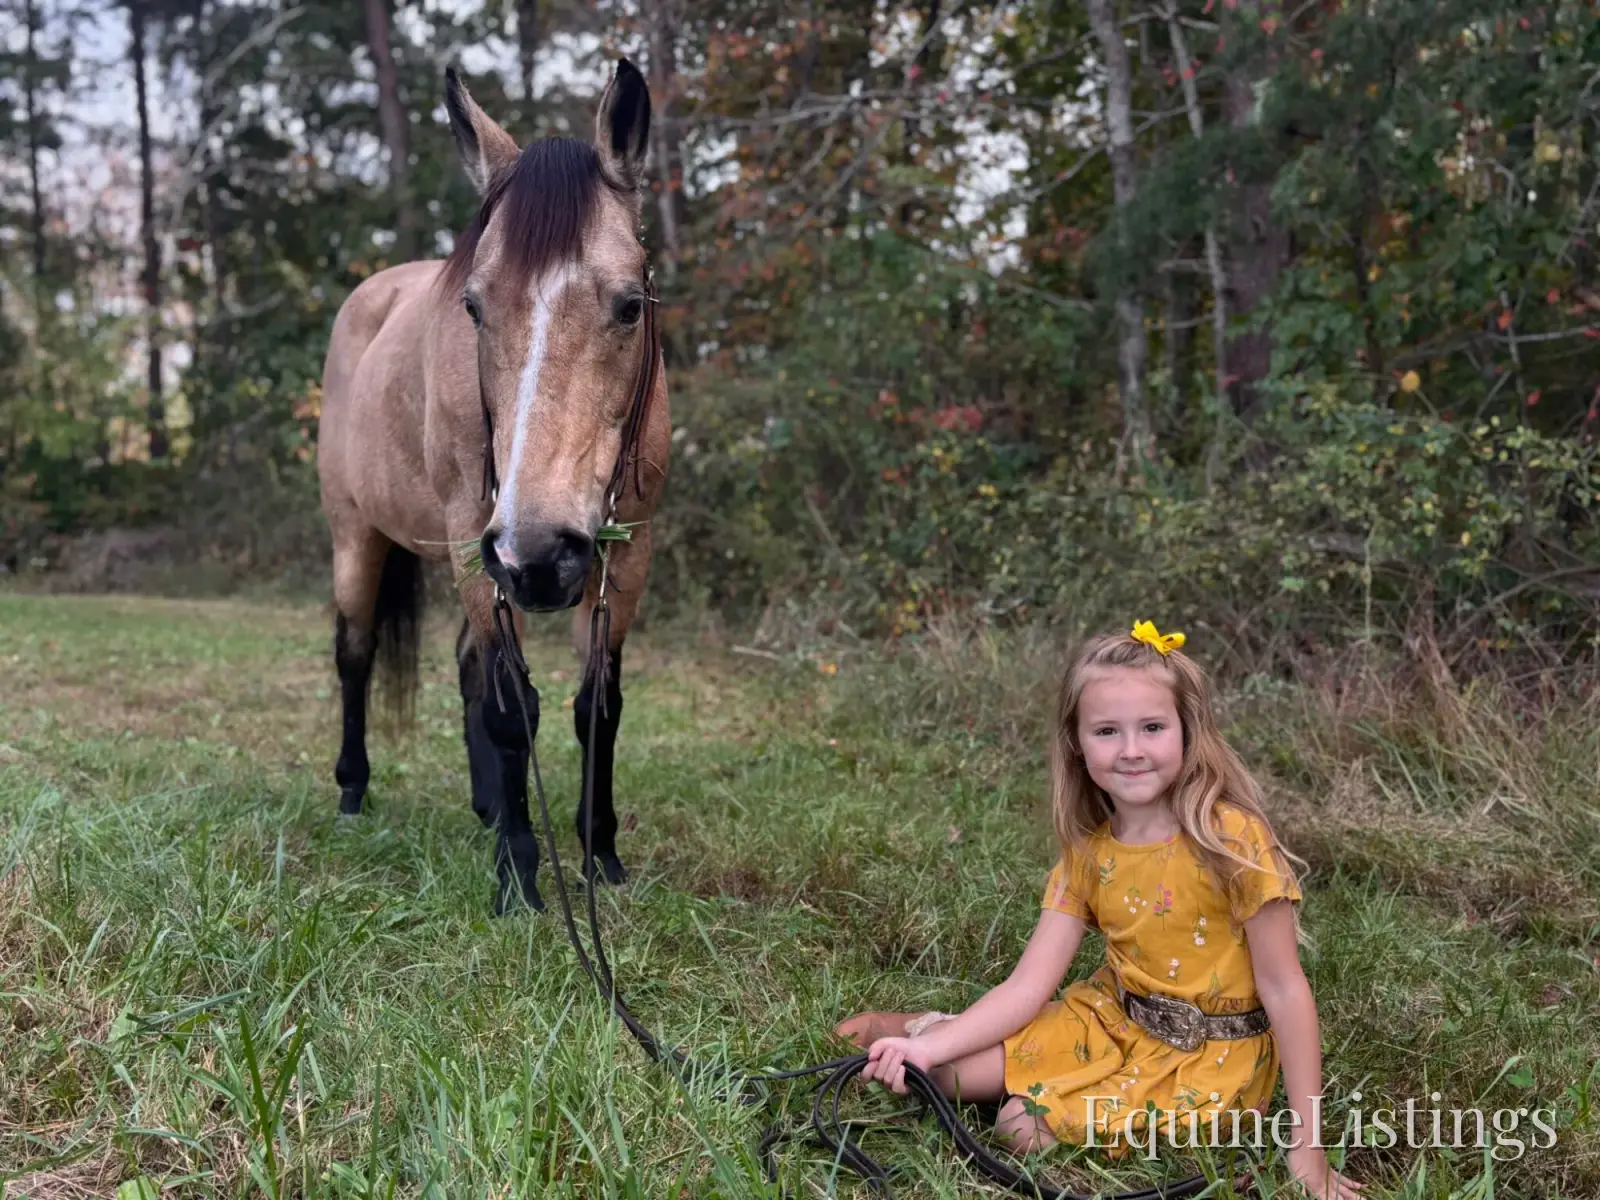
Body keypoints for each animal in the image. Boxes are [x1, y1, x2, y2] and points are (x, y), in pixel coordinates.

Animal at [316, 59, 668, 915]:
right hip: (364, 538)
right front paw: (519, 877)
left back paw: (485, 805)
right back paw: (353, 793)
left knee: (467, 663)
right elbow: (512, 710)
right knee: (355, 655)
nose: (541, 556)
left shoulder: (627, 555)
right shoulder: (477, 540)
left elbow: (595, 707)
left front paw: (599, 854)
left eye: (630, 305)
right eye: (473, 307)